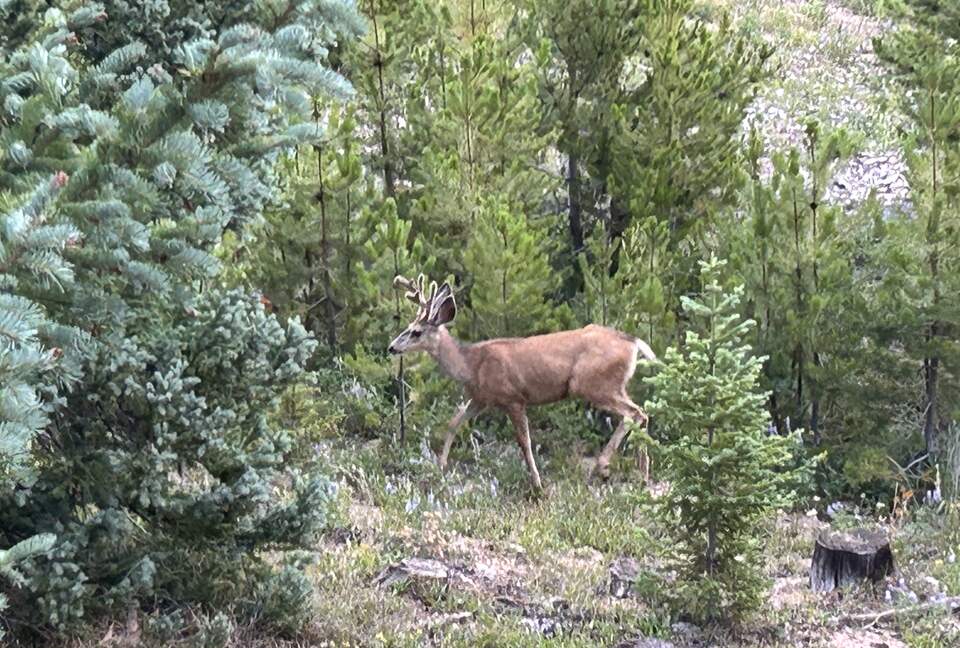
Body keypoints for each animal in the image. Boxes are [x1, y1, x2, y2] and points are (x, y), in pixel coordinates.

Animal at [387, 274, 657, 491]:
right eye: (408, 327)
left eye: (416, 332)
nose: (391, 347)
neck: (471, 365)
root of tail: (633, 342)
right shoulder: (480, 399)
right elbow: (453, 423)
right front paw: (440, 465)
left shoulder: (513, 397)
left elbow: (525, 442)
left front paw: (537, 483)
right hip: (613, 386)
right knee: (640, 413)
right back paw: (642, 474)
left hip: (593, 383)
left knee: (635, 413)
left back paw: (603, 467)